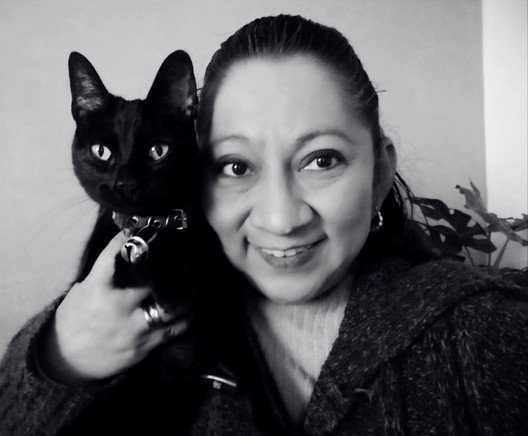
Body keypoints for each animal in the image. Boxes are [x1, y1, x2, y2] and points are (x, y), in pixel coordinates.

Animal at [68, 51, 221, 381]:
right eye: (101, 151)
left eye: (158, 151)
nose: (126, 184)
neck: (150, 222)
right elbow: (133, 257)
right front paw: (175, 285)